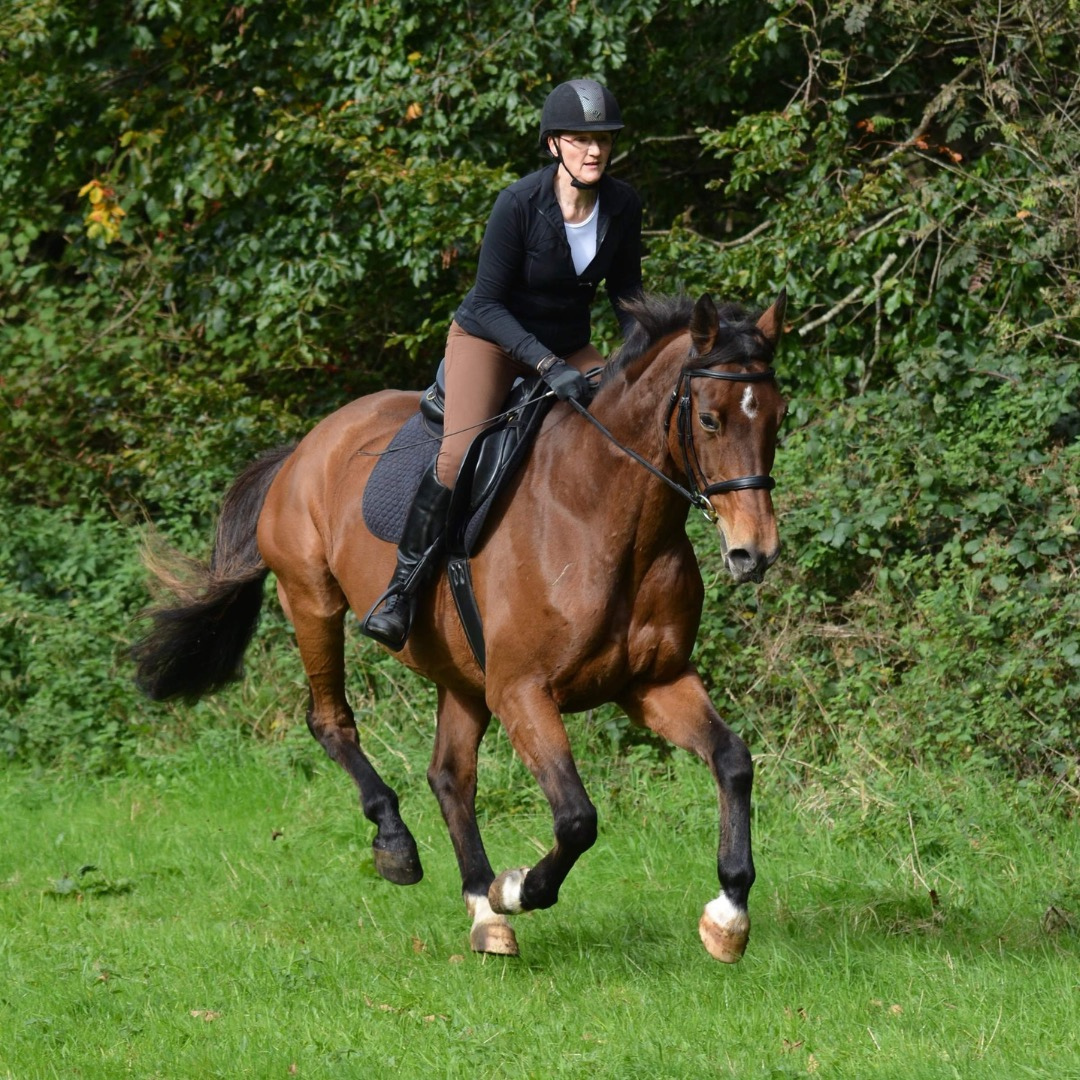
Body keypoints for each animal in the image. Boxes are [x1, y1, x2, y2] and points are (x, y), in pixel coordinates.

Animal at [131, 289, 788, 963]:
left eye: (777, 418)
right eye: (709, 420)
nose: (755, 553)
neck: (604, 516)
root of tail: (305, 446)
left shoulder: (653, 682)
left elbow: (733, 760)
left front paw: (728, 917)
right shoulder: (522, 690)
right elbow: (577, 818)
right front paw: (519, 888)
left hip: (462, 674)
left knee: (450, 776)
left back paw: (482, 910)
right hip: (312, 601)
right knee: (332, 721)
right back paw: (401, 848)